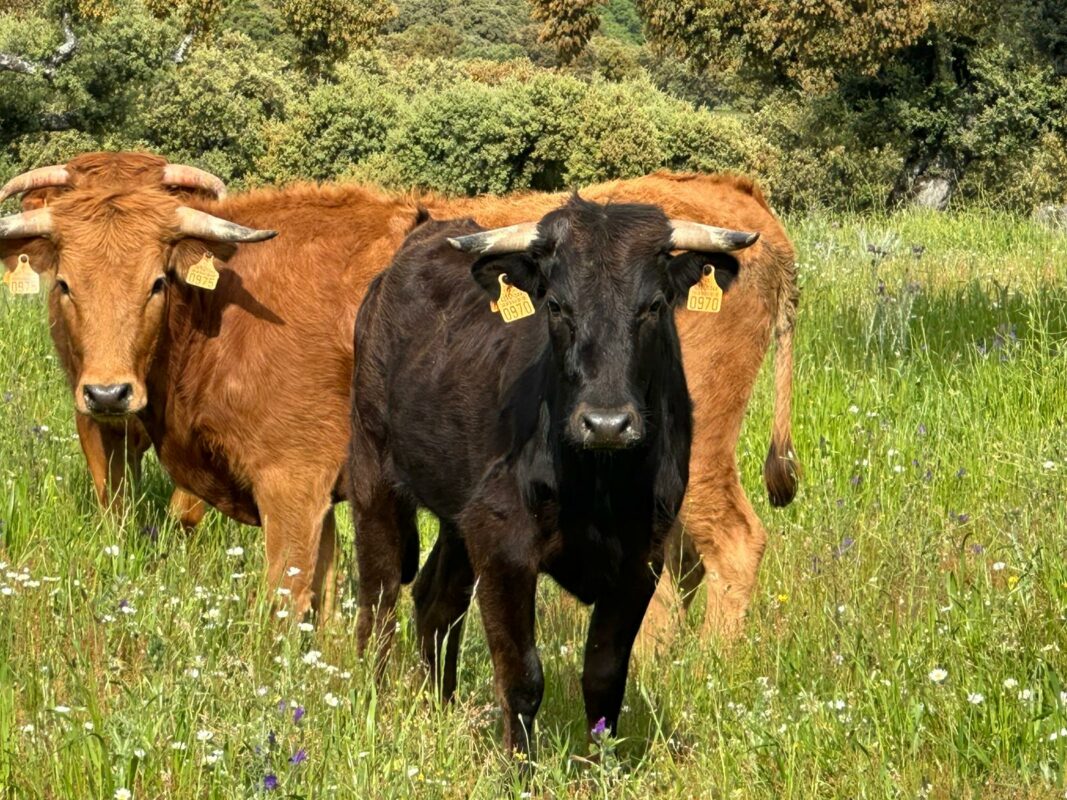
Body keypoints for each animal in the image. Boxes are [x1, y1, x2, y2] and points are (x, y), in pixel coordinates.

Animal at [0, 151, 798, 631]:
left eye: (157, 281)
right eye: (65, 283)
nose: (107, 394)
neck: (223, 305)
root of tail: (737, 199)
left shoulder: (289, 483)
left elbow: (283, 599)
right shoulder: (322, 496)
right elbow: (321, 601)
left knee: (731, 547)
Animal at [349, 196, 759, 759]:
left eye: (654, 306)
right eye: (558, 307)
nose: (606, 423)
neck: (598, 484)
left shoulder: (642, 557)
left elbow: (604, 676)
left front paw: (603, 762)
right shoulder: (504, 547)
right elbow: (522, 676)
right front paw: (519, 766)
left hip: (460, 514)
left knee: (436, 600)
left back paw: (442, 708)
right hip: (372, 474)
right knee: (380, 595)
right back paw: (373, 699)